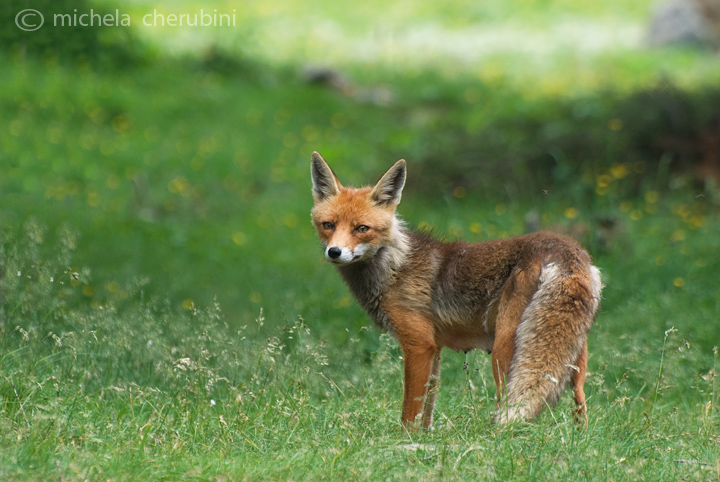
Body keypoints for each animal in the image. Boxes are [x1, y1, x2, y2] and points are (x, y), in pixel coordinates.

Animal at [310, 153, 600, 428]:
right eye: (328, 225)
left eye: (362, 229)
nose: (334, 252)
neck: (395, 266)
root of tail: (565, 248)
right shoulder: (435, 349)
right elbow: (427, 410)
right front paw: (425, 438)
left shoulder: (419, 345)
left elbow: (410, 412)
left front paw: (405, 441)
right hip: (573, 356)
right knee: (581, 406)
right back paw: (578, 438)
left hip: (505, 351)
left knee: (510, 406)